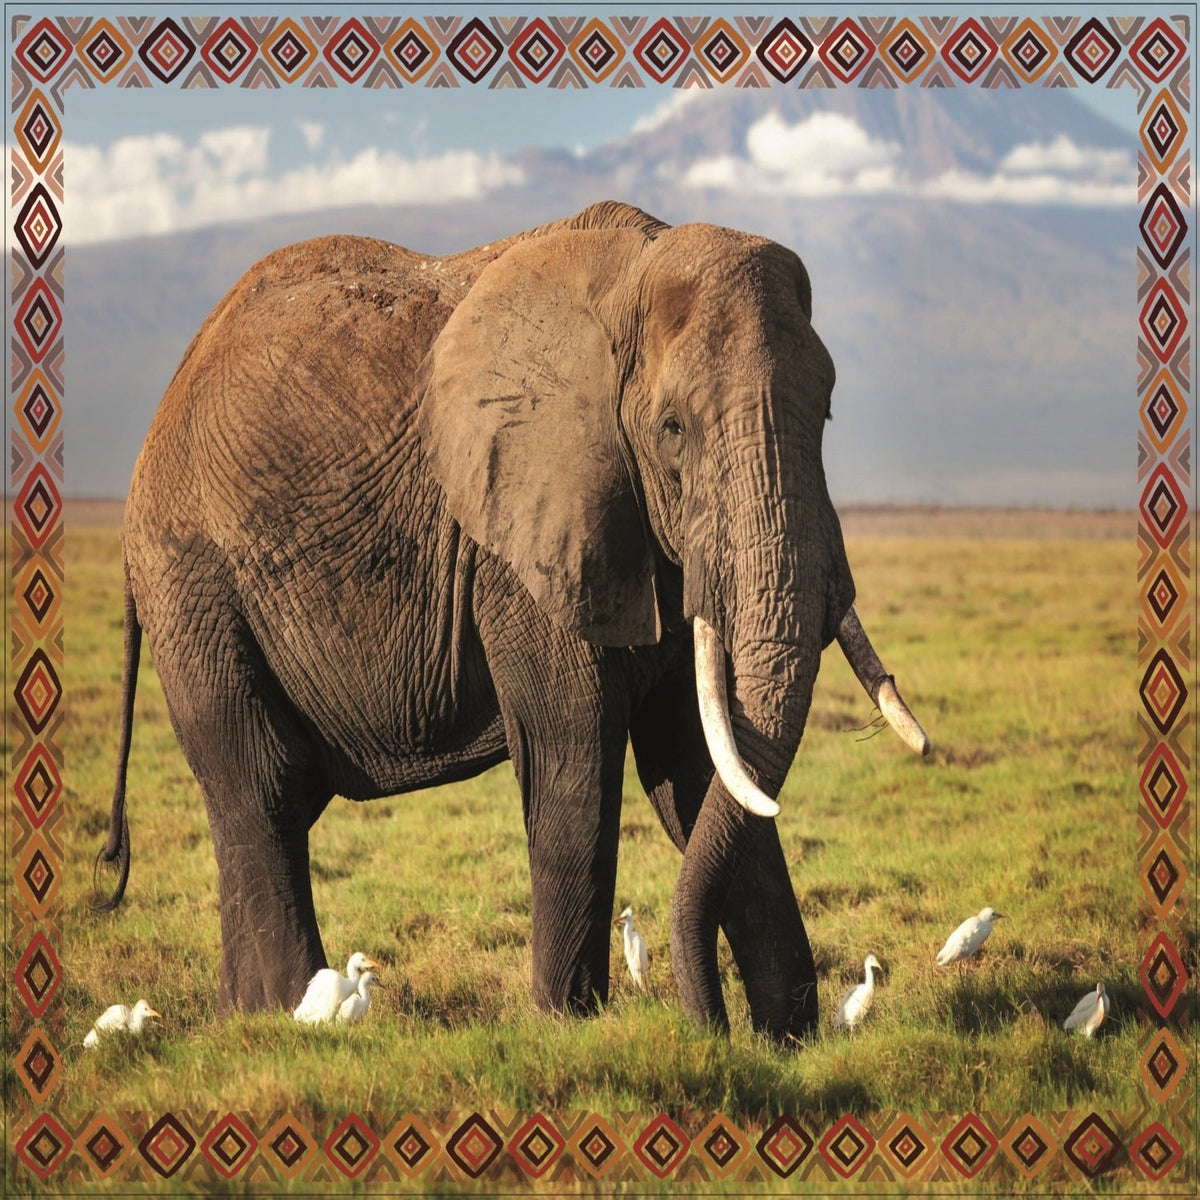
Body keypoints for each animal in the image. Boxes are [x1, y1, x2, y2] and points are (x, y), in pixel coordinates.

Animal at [94, 200, 929, 1041]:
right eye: (672, 430)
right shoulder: (523, 540)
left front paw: (785, 1041)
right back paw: (284, 1015)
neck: (633, 275)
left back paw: (247, 1014)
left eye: (826, 412)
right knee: (260, 789)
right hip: (194, 586)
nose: (709, 1023)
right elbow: (576, 749)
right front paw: (570, 1030)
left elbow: (700, 762)